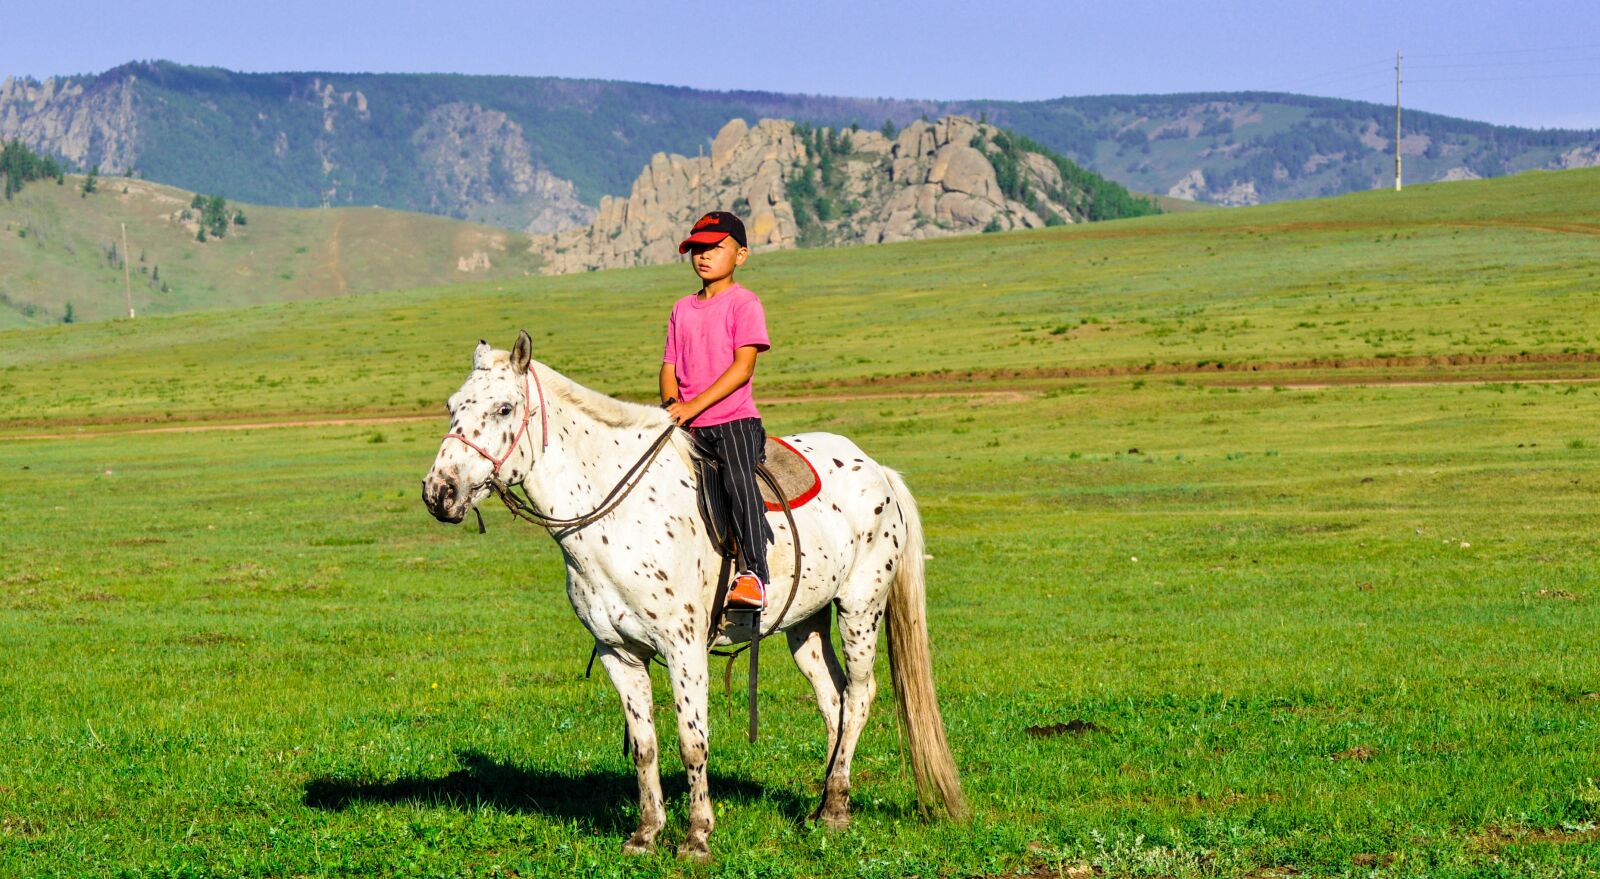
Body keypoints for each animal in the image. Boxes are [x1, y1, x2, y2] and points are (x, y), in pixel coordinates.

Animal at [422, 331, 966, 859]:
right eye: (452, 406)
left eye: (504, 408)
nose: (438, 492)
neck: (615, 516)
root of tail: (876, 468)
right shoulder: (618, 652)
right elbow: (645, 745)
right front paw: (645, 834)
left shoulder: (683, 647)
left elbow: (692, 741)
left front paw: (697, 837)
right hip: (805, 623)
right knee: (832, 700)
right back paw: (829, 805)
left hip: (860, 609)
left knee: (858, 696)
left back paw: (832, 811)